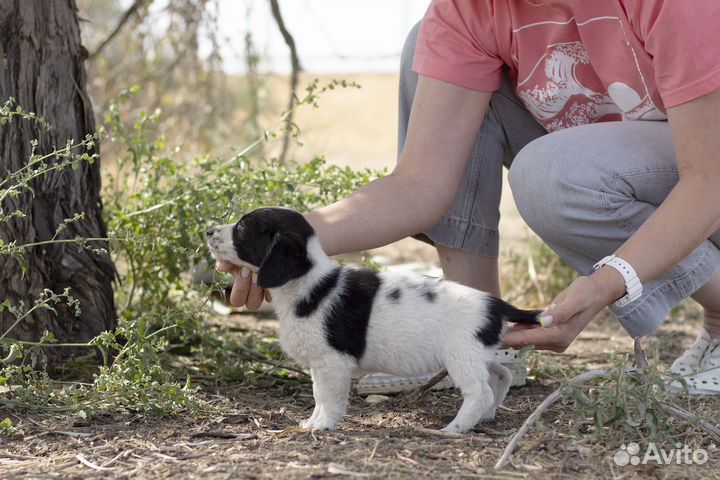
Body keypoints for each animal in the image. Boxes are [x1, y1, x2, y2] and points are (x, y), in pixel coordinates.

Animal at [204, 206, 540, 432]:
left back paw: (455, 428)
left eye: (242, 229)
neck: (311, 285)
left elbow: (328, 398)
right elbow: (317, 395)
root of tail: (495, 304)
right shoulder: (319, 366)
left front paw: (323, 425)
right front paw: (312, 421)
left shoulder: (333, 364)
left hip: (461, 358)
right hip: (480, 355)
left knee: (479, 392)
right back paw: (487, 415)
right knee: (501, 377)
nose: (207, 231)